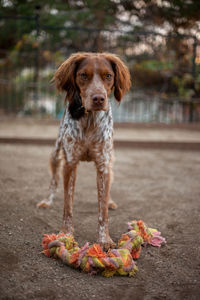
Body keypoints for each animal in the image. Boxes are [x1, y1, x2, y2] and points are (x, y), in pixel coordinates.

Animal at [37, 52, 131, 250]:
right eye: (83, 75)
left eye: (108, 76)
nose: (98, 99)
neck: (90, 120)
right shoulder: (70, 163)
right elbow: (68, 205)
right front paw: (66, 234)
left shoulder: (103, 164)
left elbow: (102, 210)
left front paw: (104, 239)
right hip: (56, 154)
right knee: (53, 180)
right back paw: (47, 201)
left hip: (110, 160)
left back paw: (110, 201)